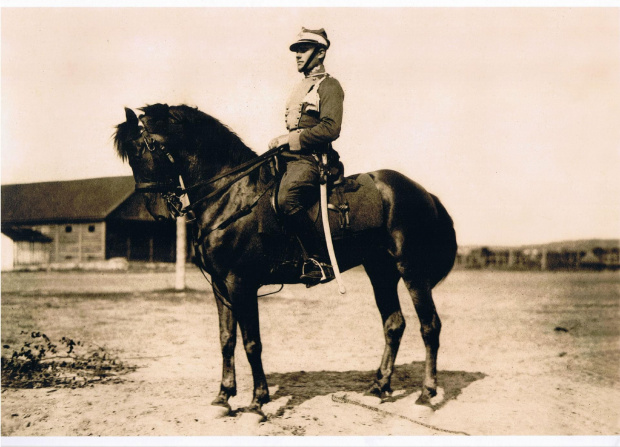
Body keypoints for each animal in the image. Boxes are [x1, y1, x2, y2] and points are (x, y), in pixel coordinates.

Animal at [114, 104, 458, 416]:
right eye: (130, 154)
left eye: (149, 147)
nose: (158, 211)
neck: (231, 196)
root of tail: (423, 193)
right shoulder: (220, 286)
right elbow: (227, 339)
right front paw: (223, 397)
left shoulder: (241, 283)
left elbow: (251, 343)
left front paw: (257, 402)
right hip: (381, 271)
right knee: (394, 324)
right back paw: (379, 388)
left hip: (411, 270)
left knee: (429, 326)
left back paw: (426, 395)